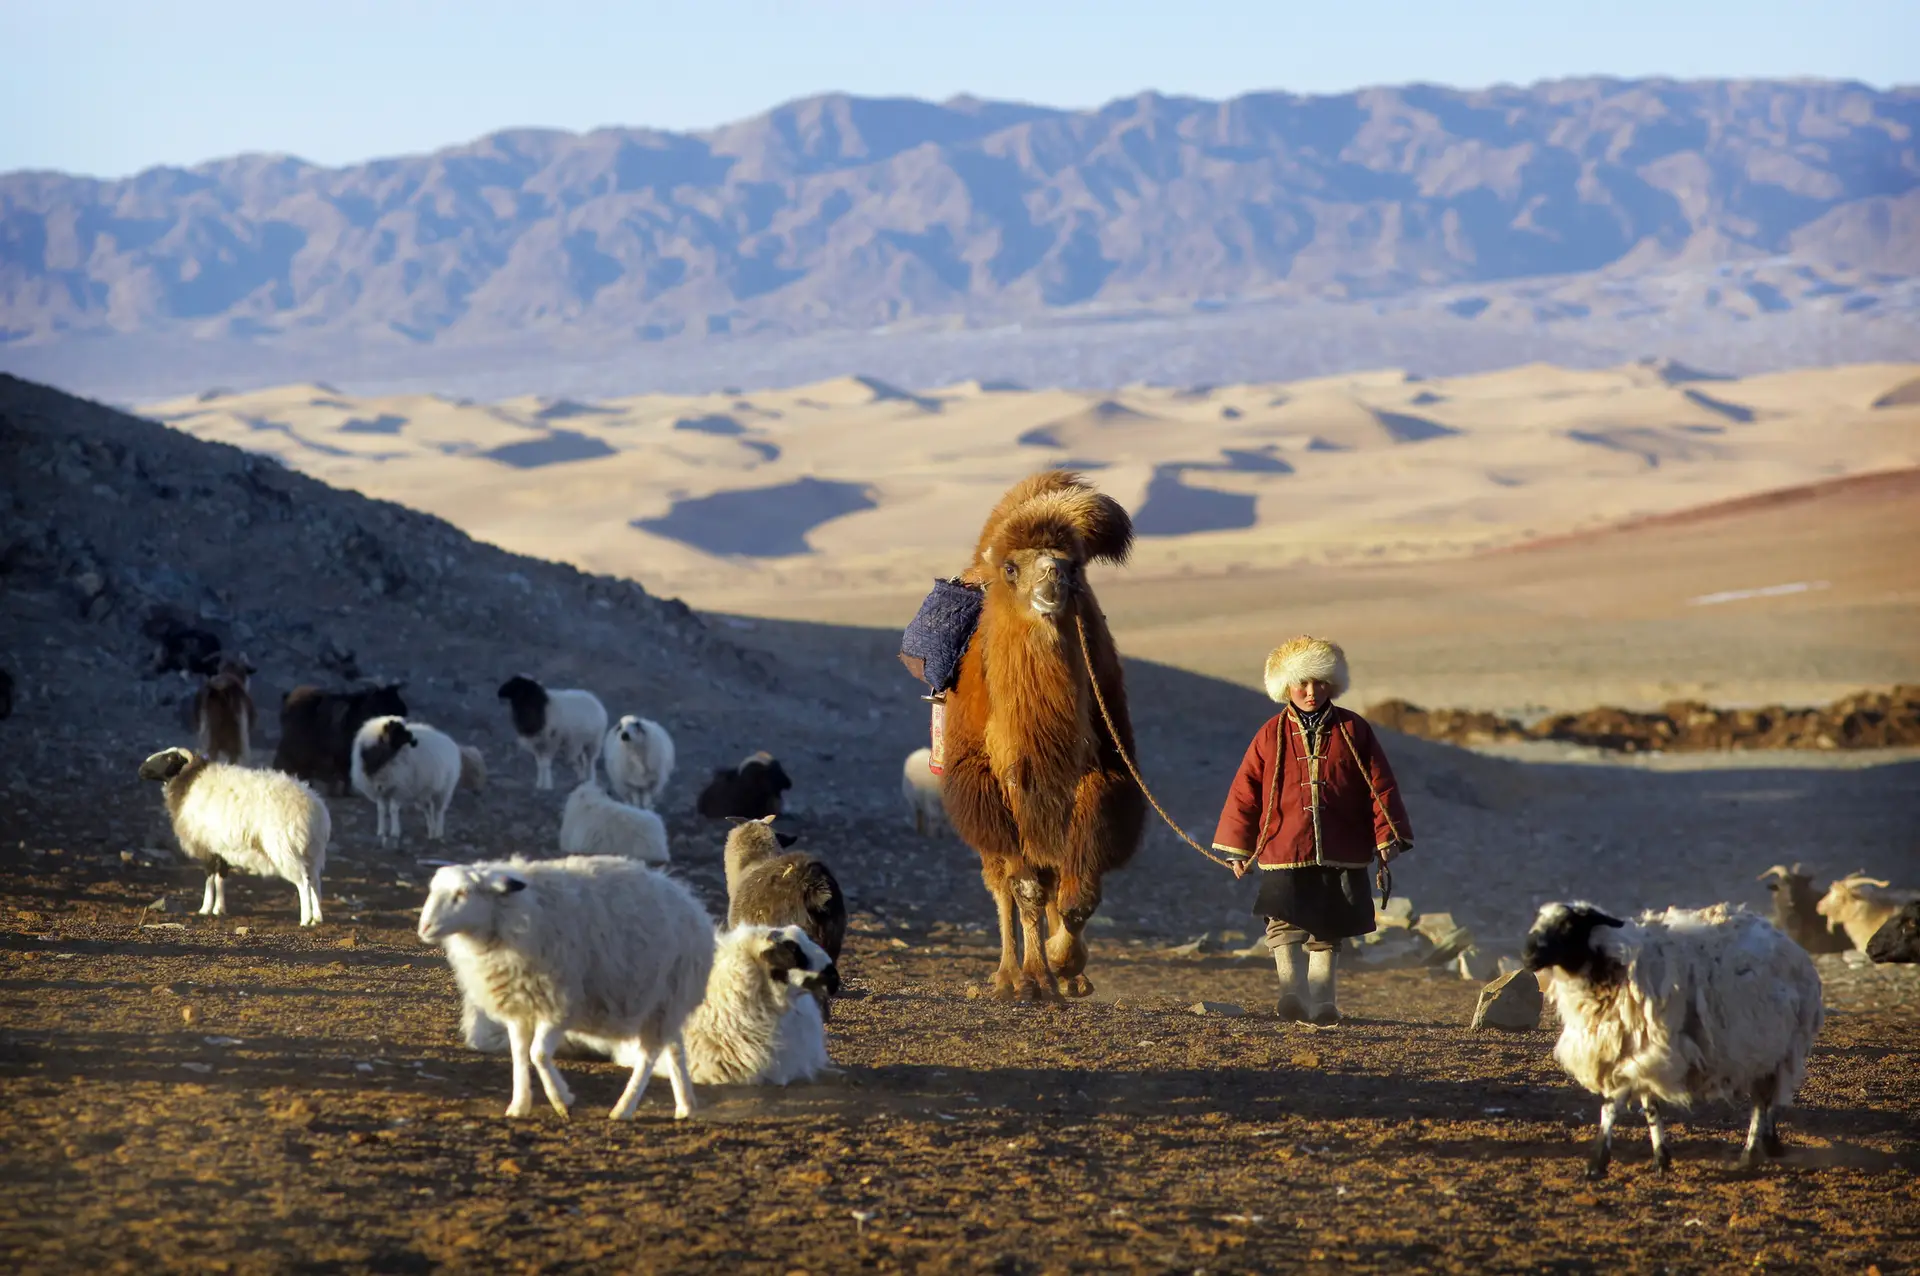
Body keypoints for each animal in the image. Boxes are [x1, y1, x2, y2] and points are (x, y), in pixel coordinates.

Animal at [139, 748, 332, 924]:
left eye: (170, 758)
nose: (142, 769)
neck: (189, 782)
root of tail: (313, 809)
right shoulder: (220, 847)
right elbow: (221, 877)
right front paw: (219, 909)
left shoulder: (206, 846)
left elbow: (210, 877)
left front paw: (205, 908)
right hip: (312, 850)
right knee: (315, 880)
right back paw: (317, 918)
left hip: (285, 848)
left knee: (303, 882)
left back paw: (306, 919)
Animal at [416, 855, 718, 1112]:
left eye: (462, 893)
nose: (424, 928)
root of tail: (689, 900)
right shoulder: (519, 1005)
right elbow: (519, 1054)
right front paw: (519, 1105)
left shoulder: (559, 1004)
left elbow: (537, 1054)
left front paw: (562, 1100)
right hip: (666, 1002)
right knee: (675, 1048)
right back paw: (685, 1106)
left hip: (664, 999)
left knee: (648, 1055)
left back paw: (624, 1108)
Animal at [940, 468, 1136, 997]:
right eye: (1012, 568)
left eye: (1073, 567)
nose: (1051, 581)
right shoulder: (999, 786)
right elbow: (1024, 888)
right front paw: (1034, 978)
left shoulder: (1095, 776)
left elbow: (1078, 890)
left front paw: (1067, 965)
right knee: (1002, 883)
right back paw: (1009, 974)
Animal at [1520, 894, 1820, 1174]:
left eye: (1568, 925)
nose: (1527, 956)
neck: (1609, 968)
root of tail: (1788, 942)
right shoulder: (1636, 1051)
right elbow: (1651, 1109)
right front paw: (1661, 1158)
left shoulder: (1649, 1054)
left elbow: (1611, 1105)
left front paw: (1597, 1163)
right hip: (1762, 1050)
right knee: (1764, 1099)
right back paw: (1766, 1144)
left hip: (1781, 1048)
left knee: (1763, 1102)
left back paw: (1752, 1151)